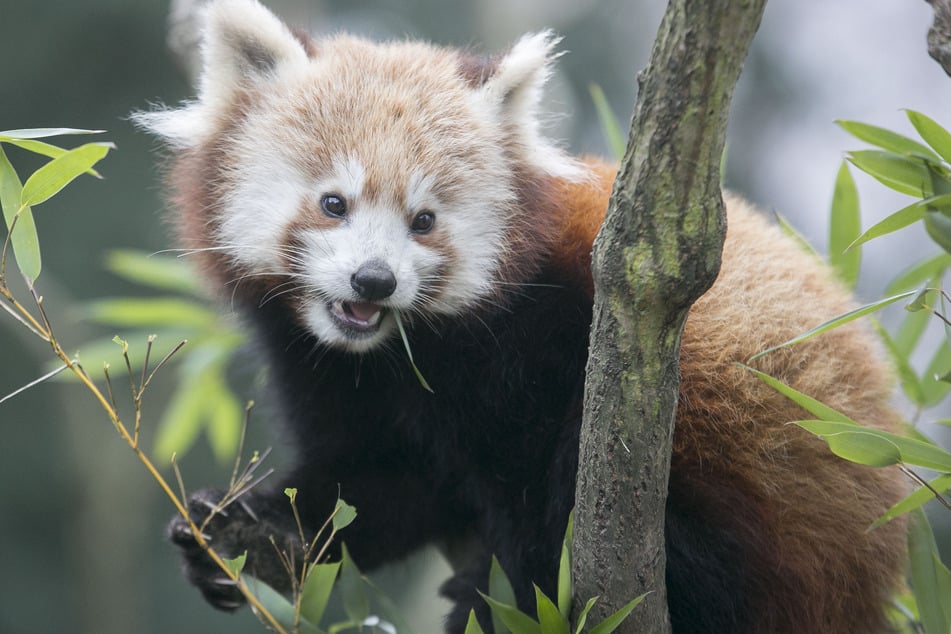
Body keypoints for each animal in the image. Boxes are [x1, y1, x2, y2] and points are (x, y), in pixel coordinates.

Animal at [138, 2, 912, 628]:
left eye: (424, 221)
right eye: (334, 203)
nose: (374, 281)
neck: (406, 351)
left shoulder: (551, 335)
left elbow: (530, 487)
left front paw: (513, 589)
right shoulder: (334, 369)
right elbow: (383, 483)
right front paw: (255, 531)